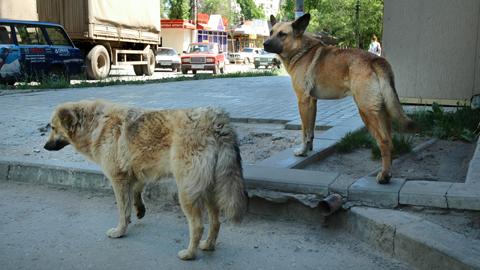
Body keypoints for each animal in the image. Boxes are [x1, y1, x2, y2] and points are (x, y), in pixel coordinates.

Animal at [43, 99, 248, 260]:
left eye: (53, 128)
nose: (44, 146)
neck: (95, 124)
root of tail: (216, 121)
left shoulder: (118, 180)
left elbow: (122, 211)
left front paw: (120, 231)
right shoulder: (136, 174)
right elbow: (135, 194)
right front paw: (140, 210)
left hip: (187, 192)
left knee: (198, 226)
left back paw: (190, 253)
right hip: (209, 190)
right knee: (216, 222)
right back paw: (208, 245)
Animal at [264, 14, 414, 184]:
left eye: (282, 34)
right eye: (271, 32)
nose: (264, 44)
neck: (301, 49)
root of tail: (375, 60)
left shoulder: (303, 101)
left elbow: (304, 131)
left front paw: (302, 151)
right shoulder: (312, 102)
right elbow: (311, 131)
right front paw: (309, 149)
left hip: (366, 112)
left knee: (384, 142)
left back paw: (384, 176)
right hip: (381, 112)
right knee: (390, 142)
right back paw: (388, 172)